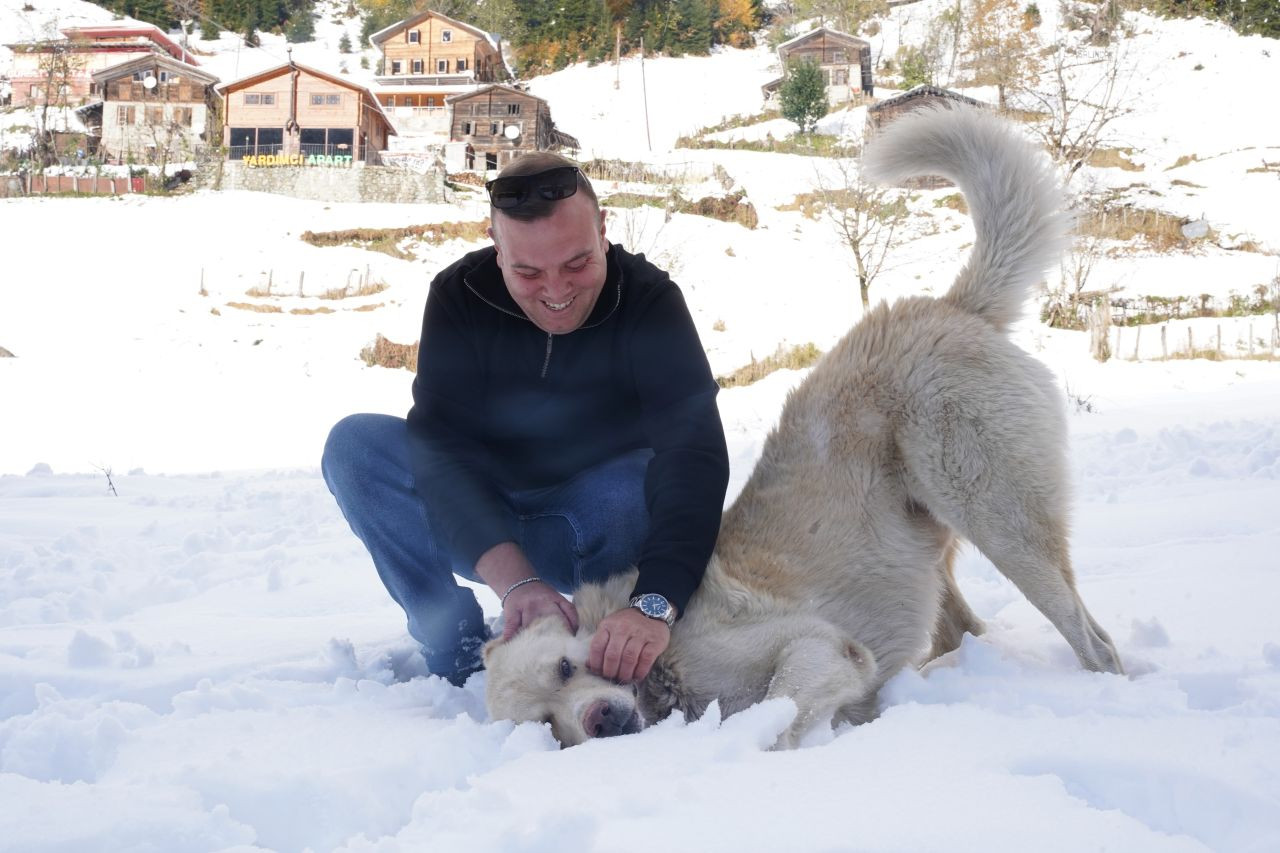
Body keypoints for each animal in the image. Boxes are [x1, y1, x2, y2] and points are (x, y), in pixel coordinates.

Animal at [483, 104, 1126, 742]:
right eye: (549, 725)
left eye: (567, 668)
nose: (599, 720)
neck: (664, 673)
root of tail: (950, 307)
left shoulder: (823, 649)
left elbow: (776, 719)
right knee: (963, 630)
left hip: (1001, 521)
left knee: (1094, 639)